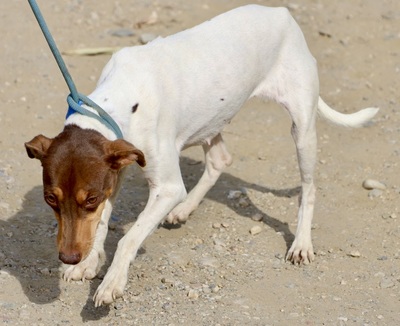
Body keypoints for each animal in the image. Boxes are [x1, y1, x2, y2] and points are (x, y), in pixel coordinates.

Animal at [25, 4, 378, 306]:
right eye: (50, 199)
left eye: (90, 199)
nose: (67, 257)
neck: (117, 102)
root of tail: (283, 13)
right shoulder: (117, 171)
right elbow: (100, 224)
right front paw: (88, 264)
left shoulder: (163, 187)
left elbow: (127, 238)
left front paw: (111, 282)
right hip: (212, 118)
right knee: (220, 159)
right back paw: (184, 209)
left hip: (302, 129)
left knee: (309, 187)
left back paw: (302, 242)